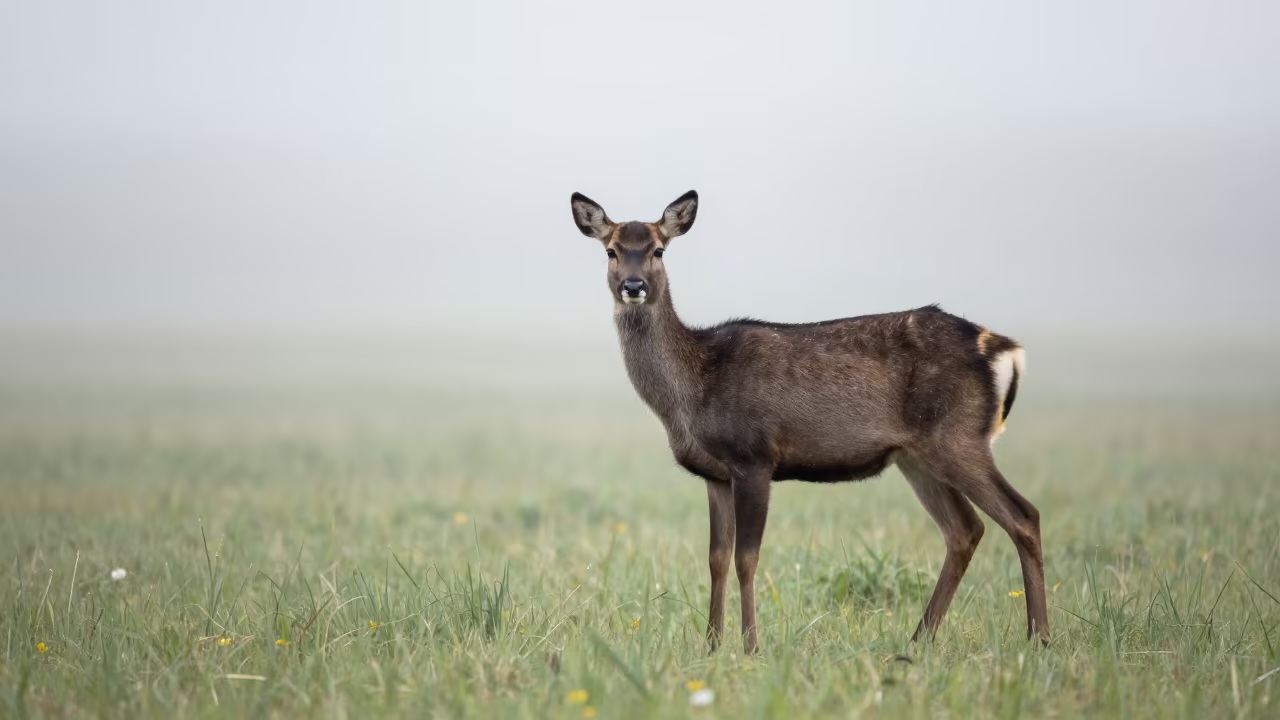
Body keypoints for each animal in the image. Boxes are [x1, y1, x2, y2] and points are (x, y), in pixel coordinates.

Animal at [569, 190, 1048, 655]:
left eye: (659, 250)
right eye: (611, 250)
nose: (634, 286)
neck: (694, 390)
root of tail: (1005, 350)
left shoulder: (756, 456)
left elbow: (746, 558)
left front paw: (750, 647)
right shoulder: (715, 474)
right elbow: (716, 559)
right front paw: (711, 645)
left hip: (958, 436)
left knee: (1022, 515)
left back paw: (1039, 638)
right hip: (916, 457)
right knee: (965, 530)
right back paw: (919, 641)